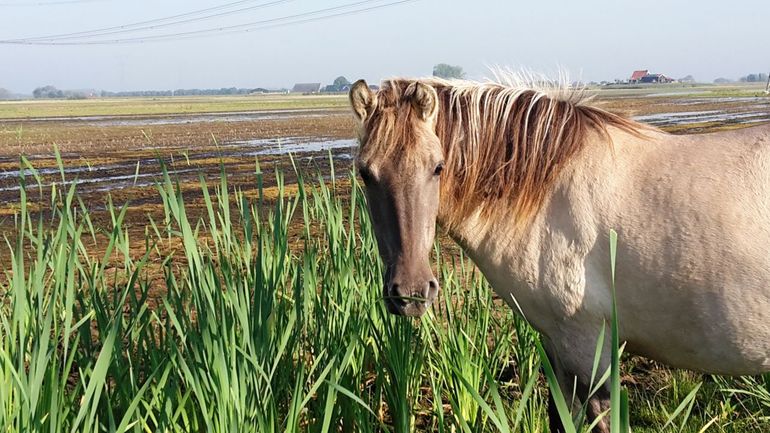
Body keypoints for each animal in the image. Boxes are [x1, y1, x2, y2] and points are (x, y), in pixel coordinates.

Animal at [346, 76, 768, 430]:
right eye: (365, 173)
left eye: (437, 168)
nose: (411, 293)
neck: (548, 193)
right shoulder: (554, 342)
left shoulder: (586, 345)